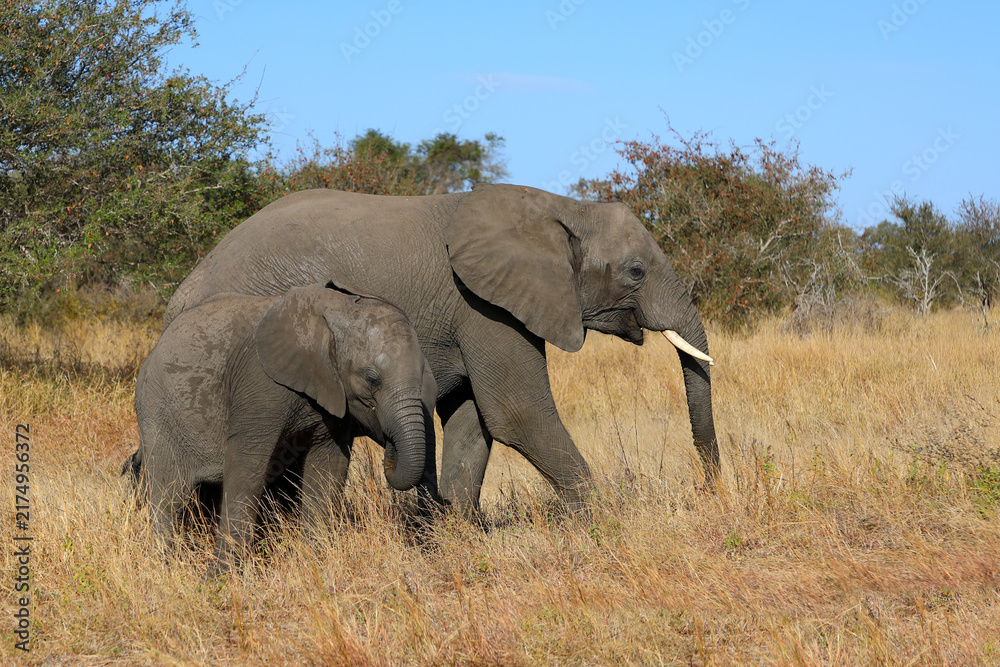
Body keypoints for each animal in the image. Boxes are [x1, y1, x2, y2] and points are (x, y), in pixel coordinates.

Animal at [135, 282, 438, 571]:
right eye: (372, 379)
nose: (389, 448)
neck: (336, 311)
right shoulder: (259, 383)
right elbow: (246, 466)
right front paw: (222, 576)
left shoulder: (333, 395)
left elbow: (328, 467)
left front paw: (316, 560)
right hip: (156, 411)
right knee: (169, 495)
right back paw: (166, 563)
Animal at [164, 183, 718, 515]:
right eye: (636, 272)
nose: (709, 489)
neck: (558, 206)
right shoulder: (483, 304)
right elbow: (517, 414)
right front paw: (605, 521)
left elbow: (474, 419)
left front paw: (456, 530)